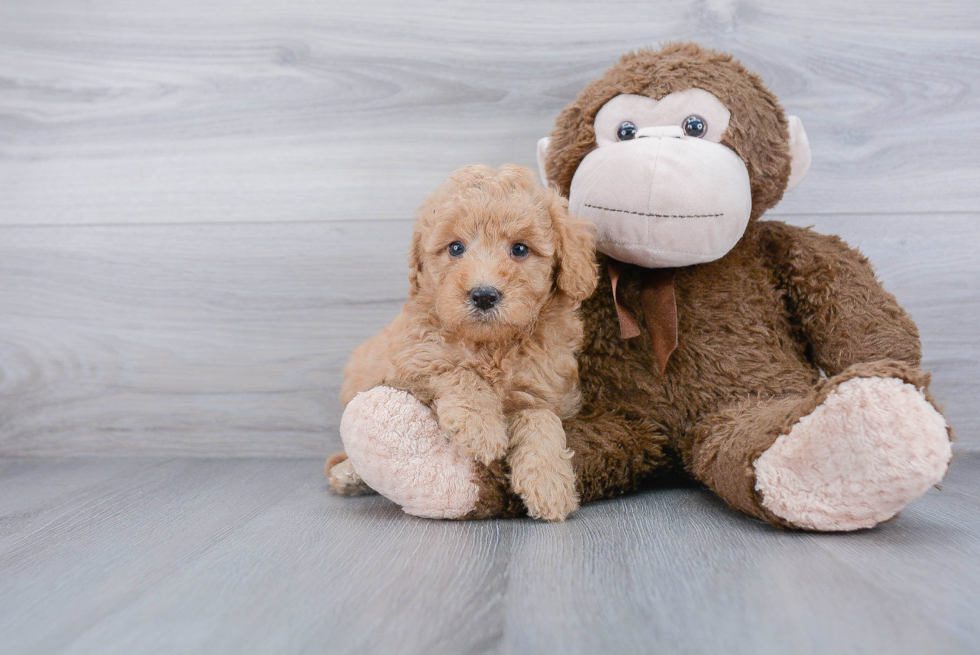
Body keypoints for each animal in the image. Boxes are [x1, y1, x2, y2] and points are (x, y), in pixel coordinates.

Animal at [336, 163, 596, 524]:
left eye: (520, 249)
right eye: (455, 248)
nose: (483, 295)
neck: (492, 346)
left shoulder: (545, 391)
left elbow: (541, 419)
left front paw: (548, 481)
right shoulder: (413, 362)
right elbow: (459, 370)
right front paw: (480, 428)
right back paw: (347, 474)